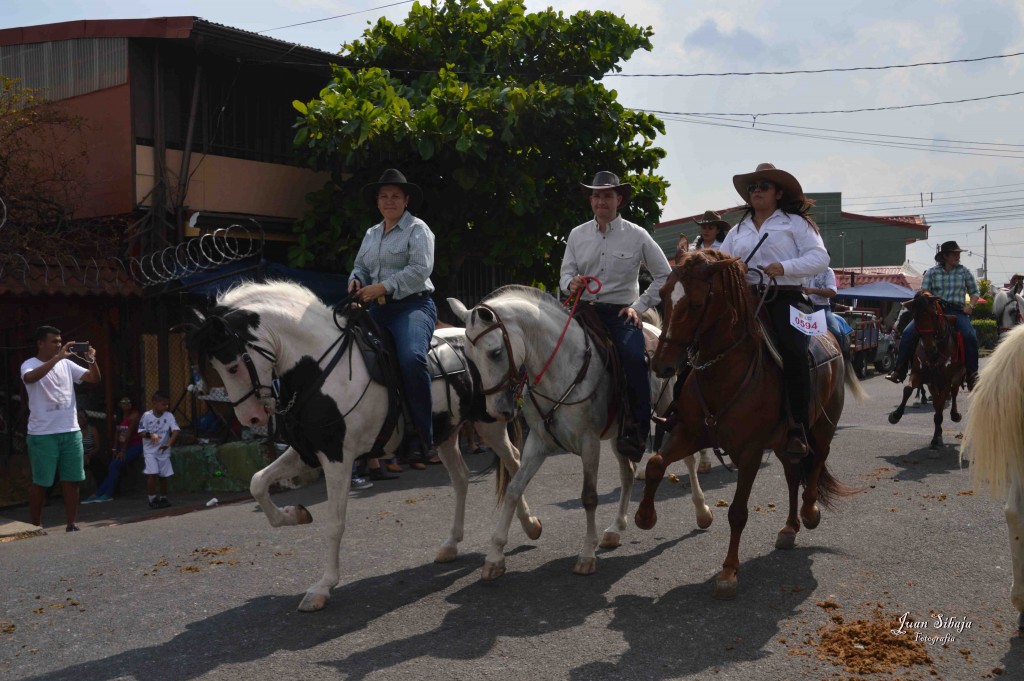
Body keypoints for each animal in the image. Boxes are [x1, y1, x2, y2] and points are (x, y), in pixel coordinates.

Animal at [186, 280, 544, 610]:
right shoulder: (307, 453)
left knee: (514, 464)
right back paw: (452, 544)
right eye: (216, 367)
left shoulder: (337, 458)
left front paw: (323, 587)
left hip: (490, 424)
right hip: (445, 434)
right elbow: (258, 482)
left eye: (233, 365)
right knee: (461, 478)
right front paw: (295, 514)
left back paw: (528, 528)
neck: (319, 372)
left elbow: (334, 523)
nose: (251, 418)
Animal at [448, 284, 712, 577]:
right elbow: (514, 489)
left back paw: (702, 511)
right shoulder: (538, 442)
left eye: (495, 353)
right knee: (628, 473)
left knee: (688, 460)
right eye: (469, 358)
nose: (496, 411)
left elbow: (589, 497)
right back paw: (615, 528)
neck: (560, 368)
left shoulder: (589, 443)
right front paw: (495, 555)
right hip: (620, 435)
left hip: (667, 411)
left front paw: (586, 554)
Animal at [638, 246, 864, 598]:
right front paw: (645, 517)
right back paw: (789, 527)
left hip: (823, 427)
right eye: (662, 296)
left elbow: (737, 512)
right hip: (786, 442)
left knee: (817, 461)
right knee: (792, 474)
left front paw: (729, 572)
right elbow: (655, 464)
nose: (661, 365)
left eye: (696, 304)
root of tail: (833, 339)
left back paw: (809, 512)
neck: (725, 371)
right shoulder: (690, 432)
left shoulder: (750, 451)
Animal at [884, 288, 962, 448]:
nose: (897, 331)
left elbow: (942, 402)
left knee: (953, 393)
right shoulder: (919, 373)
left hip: (956, 377)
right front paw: (896, 414)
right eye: (915, 316)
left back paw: (954, 414)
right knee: (938, 403)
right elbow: (909, 389)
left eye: (934, 316)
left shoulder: (945, 381)